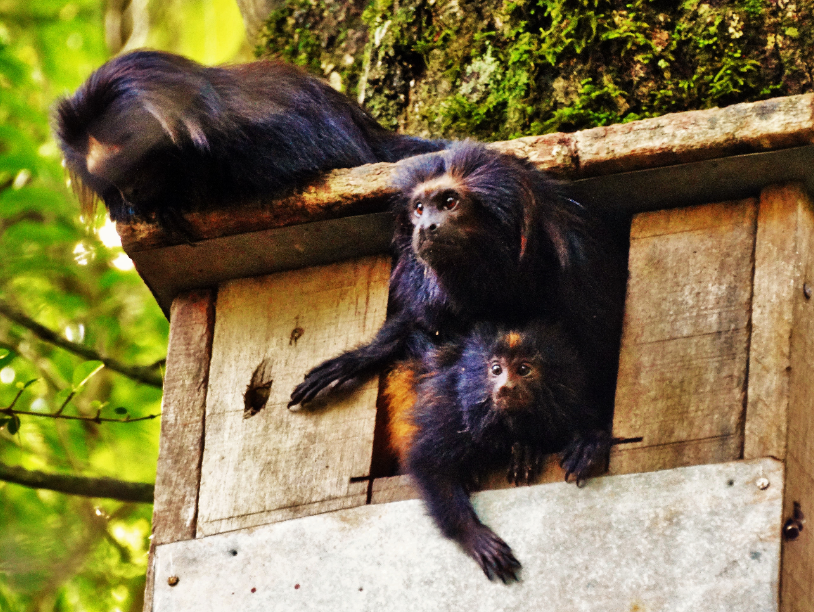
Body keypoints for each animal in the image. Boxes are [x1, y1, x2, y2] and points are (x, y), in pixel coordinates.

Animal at [384, 320, 607, 582]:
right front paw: (473, 534)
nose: (505, 387)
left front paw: (588, 443)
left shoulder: (568, 403)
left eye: (524, 369)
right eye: (496, 369)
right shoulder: (453, 412)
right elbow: (427, 462)